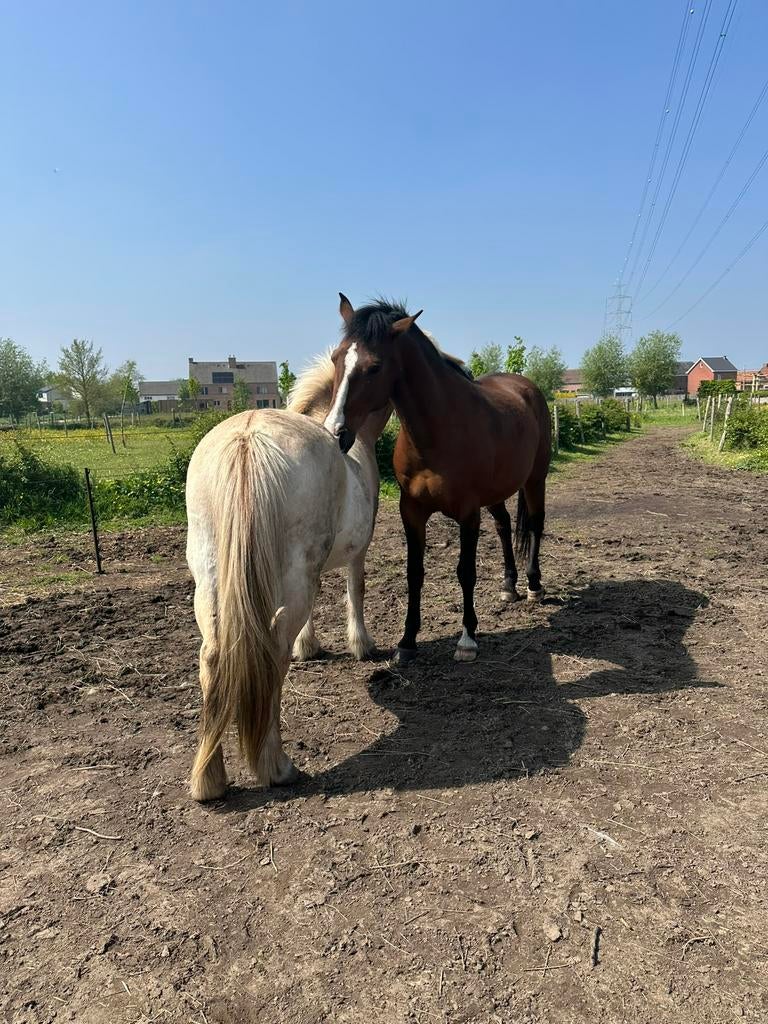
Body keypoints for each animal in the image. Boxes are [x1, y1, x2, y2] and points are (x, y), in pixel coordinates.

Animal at [185, 352, 390, 801]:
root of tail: (249, 437)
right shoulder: (357, 553)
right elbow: (356, 593)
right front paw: (361, 645)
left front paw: (308, 646)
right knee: (272, 654)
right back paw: (276, 768)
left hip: (210, 580)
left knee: (212, 657)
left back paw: (210, 781)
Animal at [325, 295, 551, 666]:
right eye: (336, 358)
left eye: (375, 367)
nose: (335, 432)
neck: (438, 430)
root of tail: (527, 388)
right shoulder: (412, 511)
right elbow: (414, 573)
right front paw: (406, 642)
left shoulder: (468, 513)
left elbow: (466, 571)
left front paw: (467, 639)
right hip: (497, 492)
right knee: (504, 526)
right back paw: (509, 586)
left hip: (535, 480)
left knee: (534, 524)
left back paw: (533, 586)